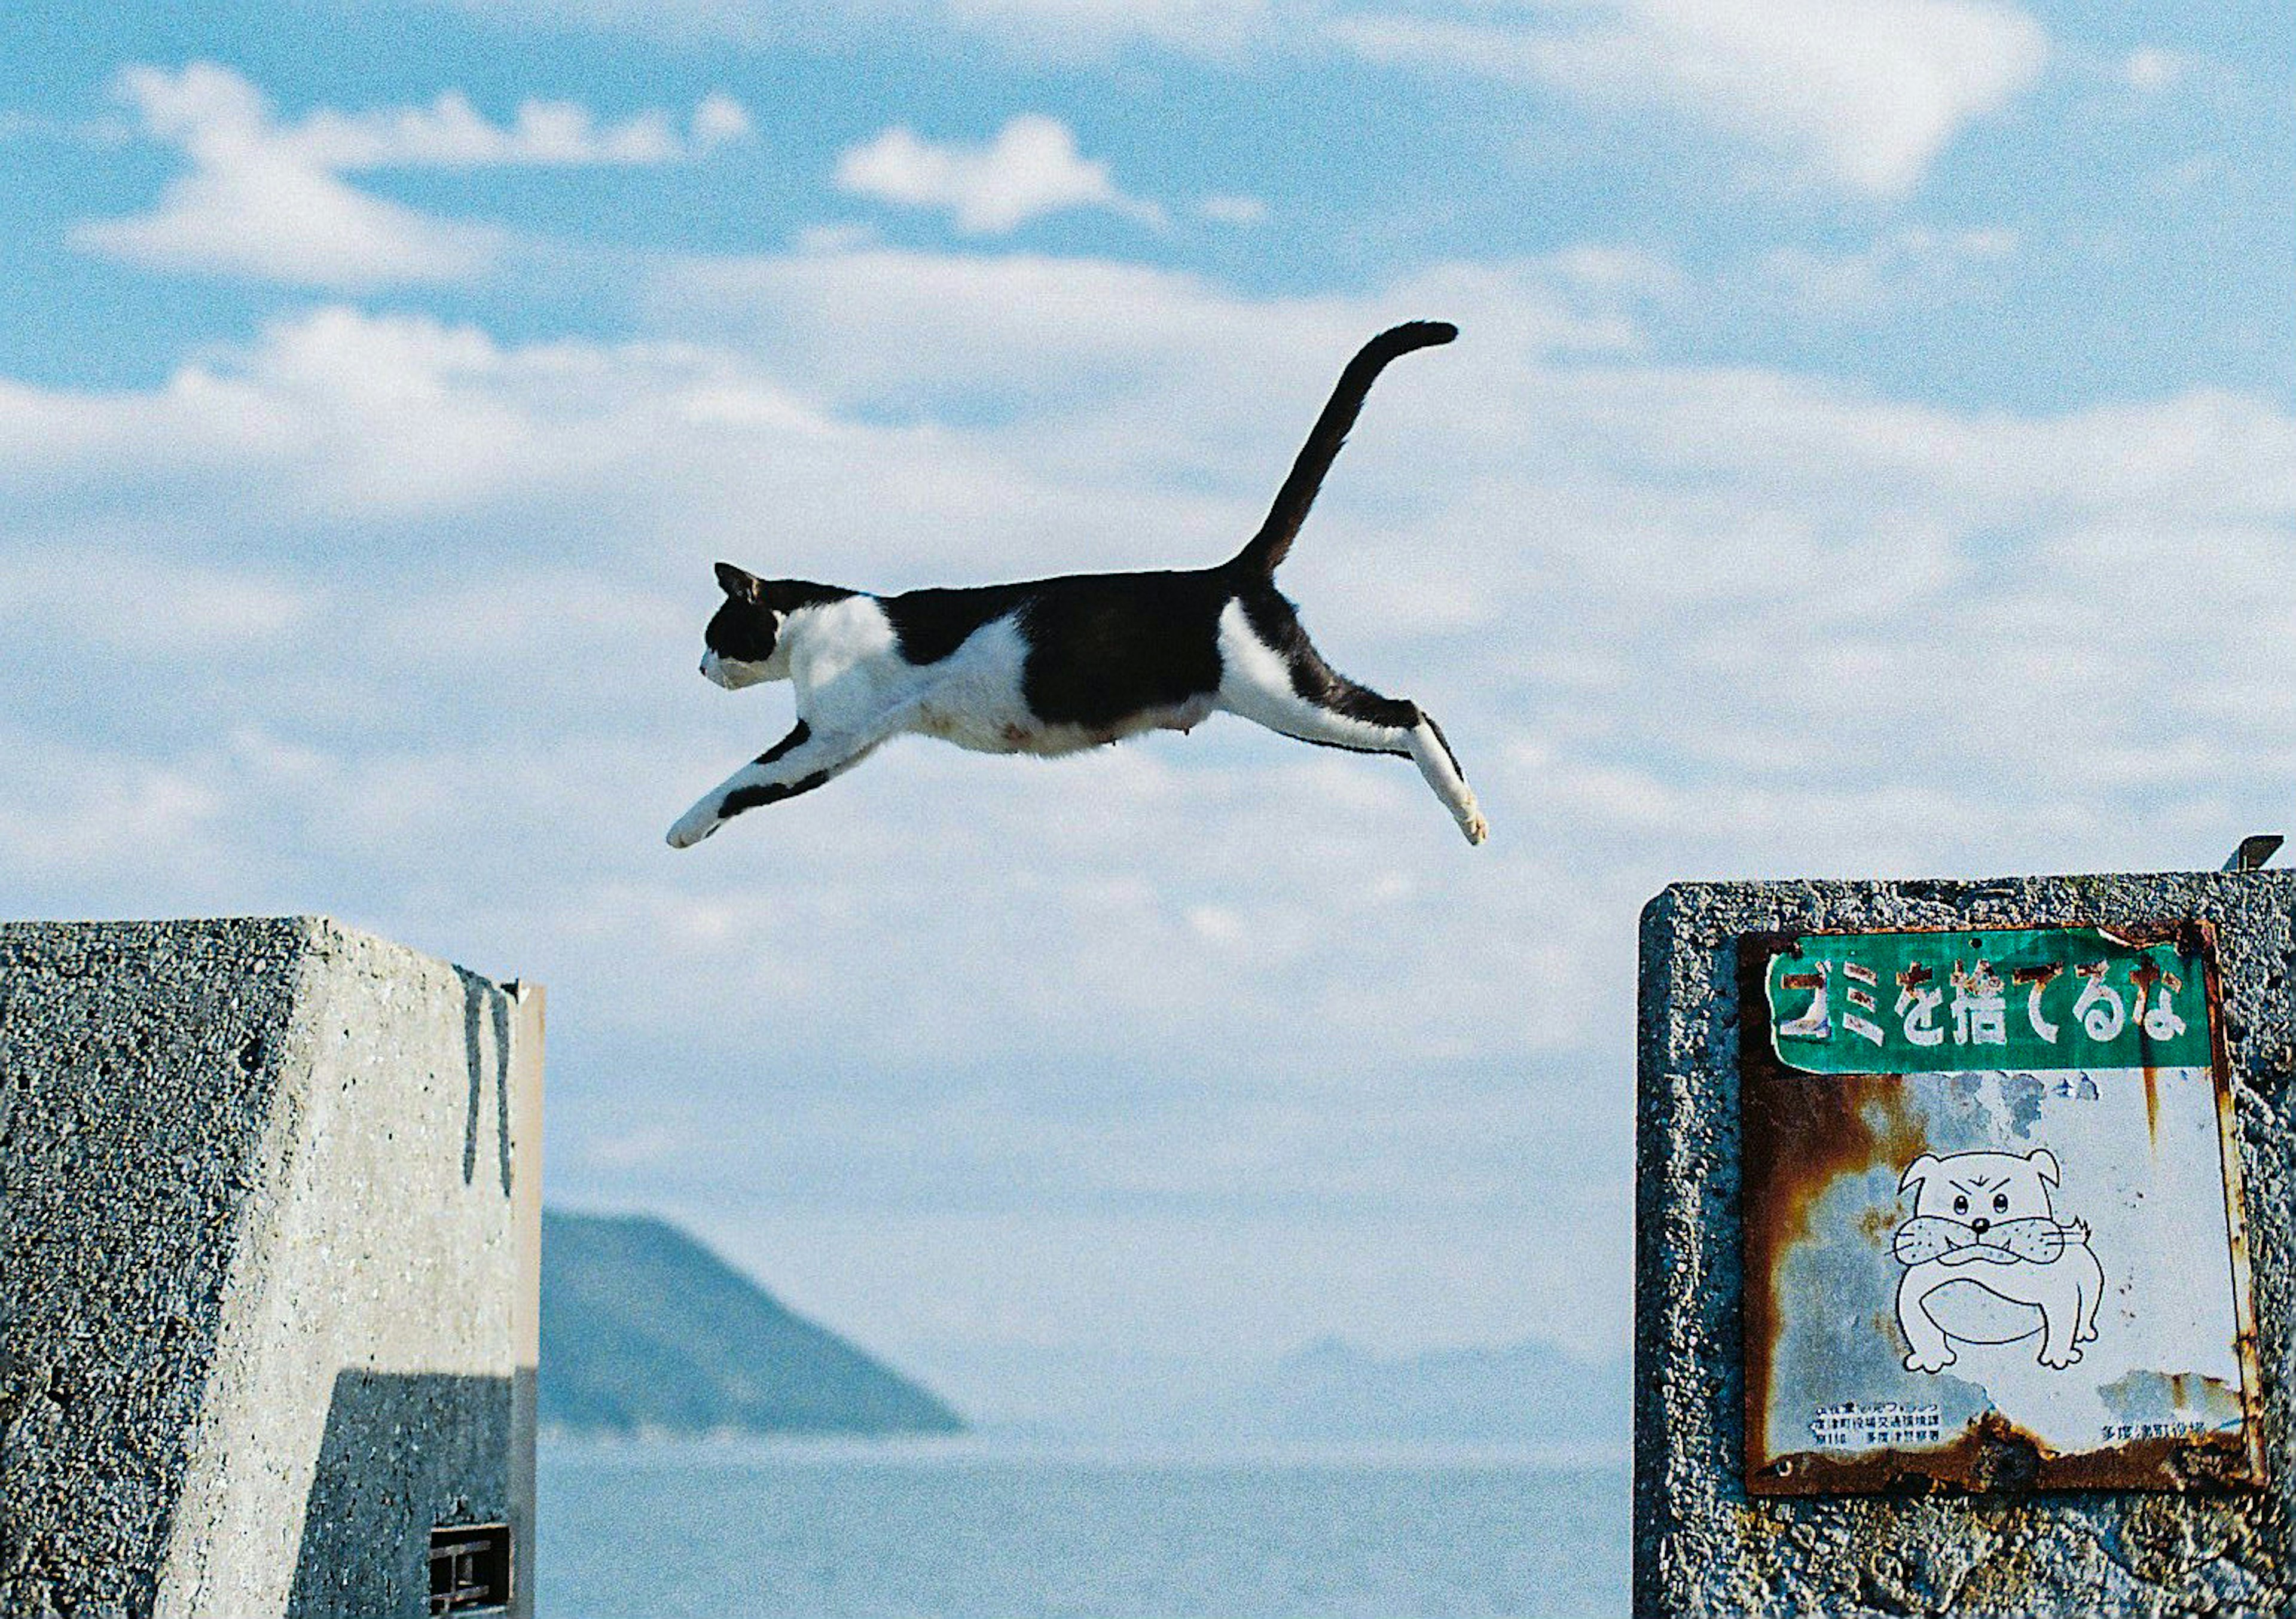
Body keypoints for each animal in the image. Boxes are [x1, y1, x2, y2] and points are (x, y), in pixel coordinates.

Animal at [670, 317, 1488, 845]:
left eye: (716, 631)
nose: (699, 666)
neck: (813, 628)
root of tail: (1232, 570)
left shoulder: (826, 734)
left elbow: (744, 778)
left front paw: (683, 826)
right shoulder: (850, 745)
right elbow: (757, 783)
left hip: (1285, 694)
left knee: (1408, 713)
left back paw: (1468, 813)